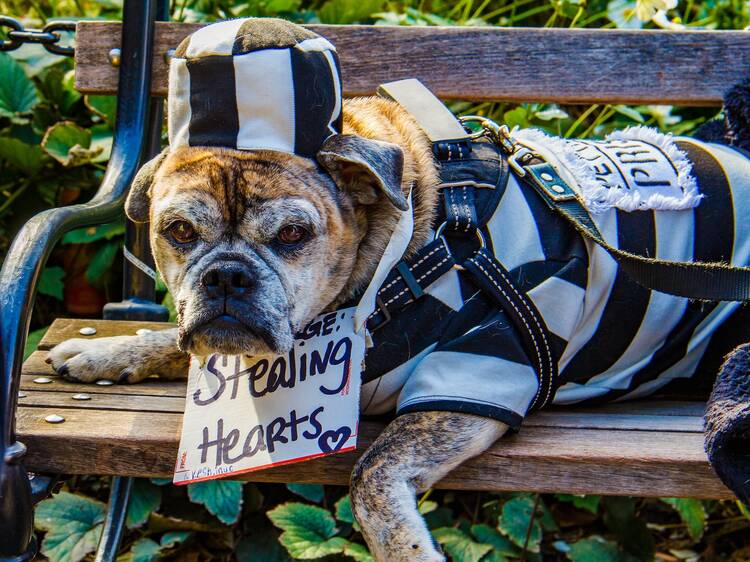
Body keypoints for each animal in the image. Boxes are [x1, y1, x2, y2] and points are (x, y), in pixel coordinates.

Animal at [45, 17, 750, 560]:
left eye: (294, 234)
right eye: (180, 231)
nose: (226, 274)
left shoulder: (483, 369)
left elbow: (372, 475)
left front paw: (408, 548)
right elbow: (169, 339)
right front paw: (106, 351)